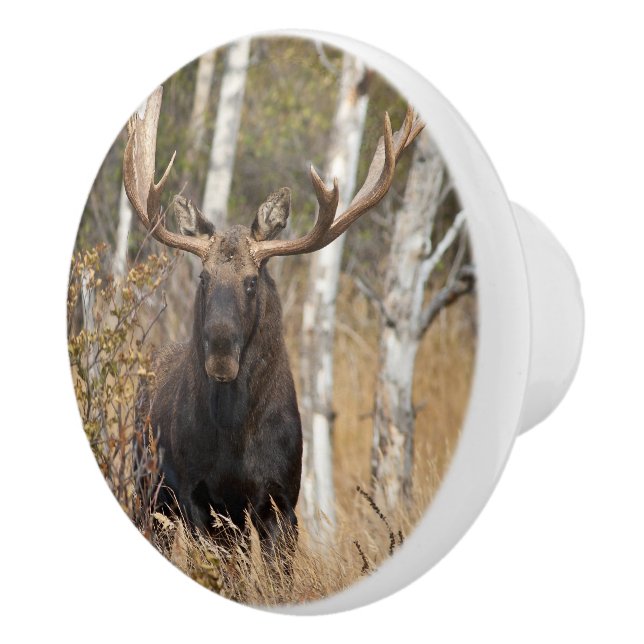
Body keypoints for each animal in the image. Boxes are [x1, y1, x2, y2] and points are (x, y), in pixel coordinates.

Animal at [124, 85, 422, 558]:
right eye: (204, 277)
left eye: (252, 281)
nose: (221, 353)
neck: (235, 437)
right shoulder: (196, 496)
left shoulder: (282, 499)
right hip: (146, 490)